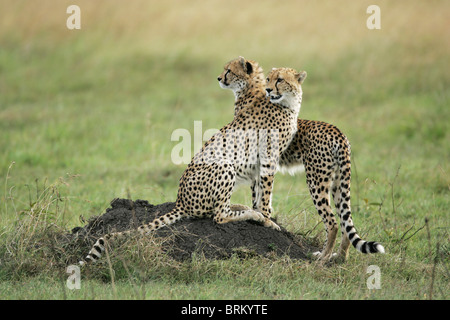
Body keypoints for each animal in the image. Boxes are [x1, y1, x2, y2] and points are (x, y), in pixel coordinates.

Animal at [79, 57, 300, 264]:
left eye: (229, 70)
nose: (219, 78)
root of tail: (180, 201)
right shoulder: (267, 157)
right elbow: (264, 194)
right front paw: (267, 220)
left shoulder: (261, 161)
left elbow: (259, 192)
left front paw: (264, 215)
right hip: (224, 165)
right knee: (218, 215)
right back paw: (250, 214)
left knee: (219, 209)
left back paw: (244, 208)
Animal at [266, 67, 384, 260]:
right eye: (268, 79)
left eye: (280, 80)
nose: (268, 89)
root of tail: (338, 132)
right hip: (339, 182)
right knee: (345, 222)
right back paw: (339, 257)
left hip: (316, 181)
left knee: (332, 222)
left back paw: (323, 257)